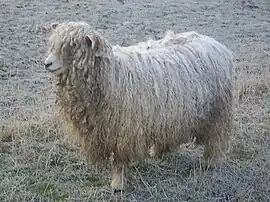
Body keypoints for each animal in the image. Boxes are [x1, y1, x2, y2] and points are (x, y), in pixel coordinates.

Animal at [44, 21, 234, 192]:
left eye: (73, 46)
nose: (47, 63)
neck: (112, 75)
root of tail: (215, 43)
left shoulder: (125, 131)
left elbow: (120, 160)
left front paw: (118, 184)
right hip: (168, 114)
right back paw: (157, 150)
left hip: (217, 112)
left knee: (216, 139)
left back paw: (210, 162)